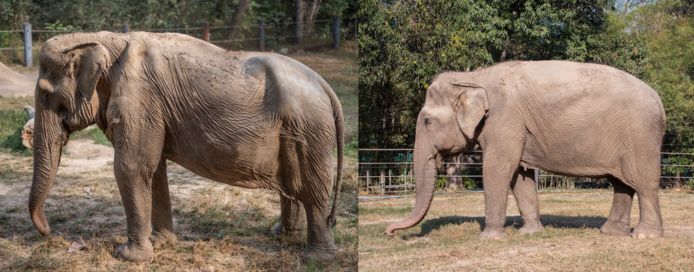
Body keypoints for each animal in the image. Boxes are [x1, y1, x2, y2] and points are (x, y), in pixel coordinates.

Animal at [29, 31, 346, 262]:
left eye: (46, 95)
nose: (49, 232)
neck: (105, 40)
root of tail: (327, 88)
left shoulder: (140, 100)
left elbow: (131, 167)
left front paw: (129, 257)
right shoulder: (152, 110)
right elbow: (154, 170)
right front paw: (162, 243)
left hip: (310, 130)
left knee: (313, 190)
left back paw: (317, 259)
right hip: (296, 131)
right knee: (293, 184)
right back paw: (281, 236)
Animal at [388, 61, 668, 240]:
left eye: (427, 121)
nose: (389, 232)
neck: (475, 77)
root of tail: (659, 101)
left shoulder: (505, 119)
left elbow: (498, 169)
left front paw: (490, 238)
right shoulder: (517, 127)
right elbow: (519, 175)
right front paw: (529, 233)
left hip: (640, 135)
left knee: (643, 183)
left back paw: (644, 236)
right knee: (621, 183)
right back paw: (611, 233)